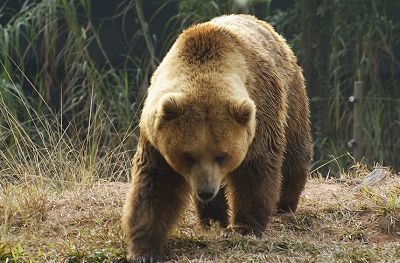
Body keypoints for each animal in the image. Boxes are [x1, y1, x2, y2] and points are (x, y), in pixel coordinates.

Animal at [122, 14, 312, 263]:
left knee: (293, 153)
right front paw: (144, 249)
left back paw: (285, 203)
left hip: (291, 95)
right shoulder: (155, 137)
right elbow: (155, 185)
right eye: (188, 156)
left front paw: (245, 227)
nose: (205, 191)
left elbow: (255, 169)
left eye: (223, 155)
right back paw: (211, 218)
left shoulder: (260, 113)